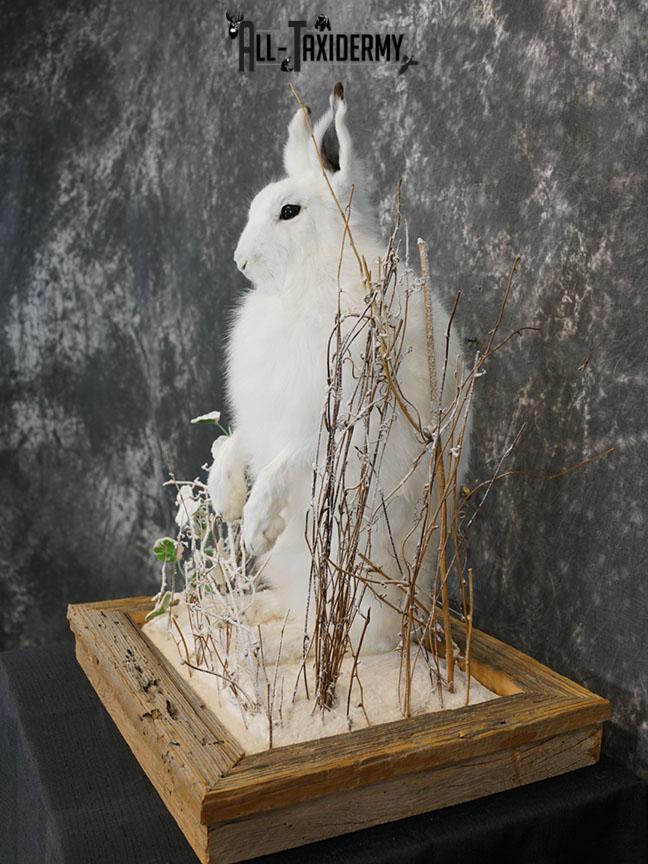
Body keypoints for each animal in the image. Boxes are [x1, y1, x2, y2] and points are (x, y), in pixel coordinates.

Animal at [208, 82, 469, 658]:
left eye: (289, 212)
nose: (240, 261)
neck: (311, 274)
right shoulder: (260, 413)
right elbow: (234, 441)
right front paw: (225, 498)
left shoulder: (335, 414)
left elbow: (288, 458)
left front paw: (254, 524)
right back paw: (256, 615)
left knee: (353, 641)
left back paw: (277, 648)